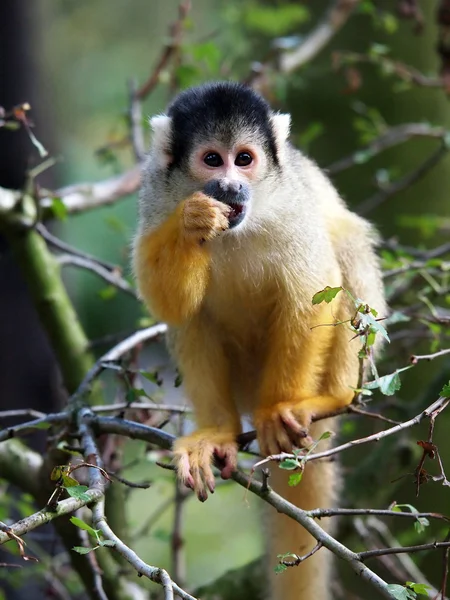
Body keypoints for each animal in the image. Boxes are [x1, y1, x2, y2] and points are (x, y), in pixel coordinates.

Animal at [131, 81, 386, 600]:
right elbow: (170, 305)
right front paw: (192, 221)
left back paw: (330, 398)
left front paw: (277, 410)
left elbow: (311, 290)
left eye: (244, 159)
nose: (231, 186)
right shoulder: (156, 193)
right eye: (212, 160)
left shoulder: (291, 206)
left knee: (345, 244)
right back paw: (218, 431)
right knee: (192, 318)